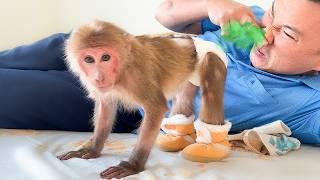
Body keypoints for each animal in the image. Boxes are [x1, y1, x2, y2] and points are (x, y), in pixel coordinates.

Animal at [58, 20, 228, 179]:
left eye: (105, 57)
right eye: (89, 59)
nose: (98, 77)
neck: (122, 69)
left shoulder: (137, 75)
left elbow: (155, 107)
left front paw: (133, 165)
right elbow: (106, 106)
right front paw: (92, 149)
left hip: (211, 54)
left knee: (210, 74)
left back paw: (209, 148)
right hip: (187, 73)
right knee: (183, 99)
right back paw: (177, 138)